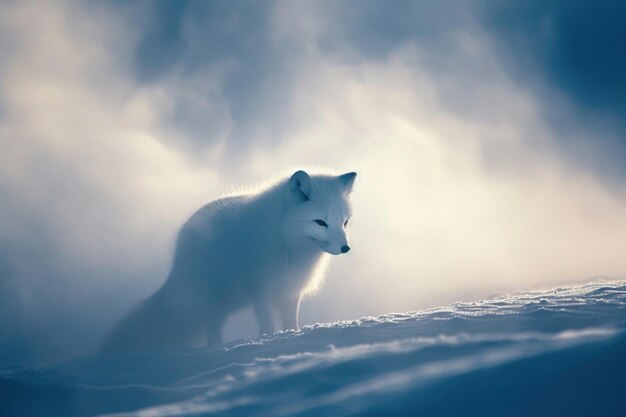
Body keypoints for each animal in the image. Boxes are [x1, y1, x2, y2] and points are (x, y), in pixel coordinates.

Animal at [102, 167, 356, 352]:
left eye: (344, 222)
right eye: (320, 222)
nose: (346, 248)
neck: (290, 243)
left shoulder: (290, 291)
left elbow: (290, 323)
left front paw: (292, 338)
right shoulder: (263, 293)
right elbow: (268, 326)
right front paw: (270, 341)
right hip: (216, 297)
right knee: (212, 323)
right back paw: (215, 346)